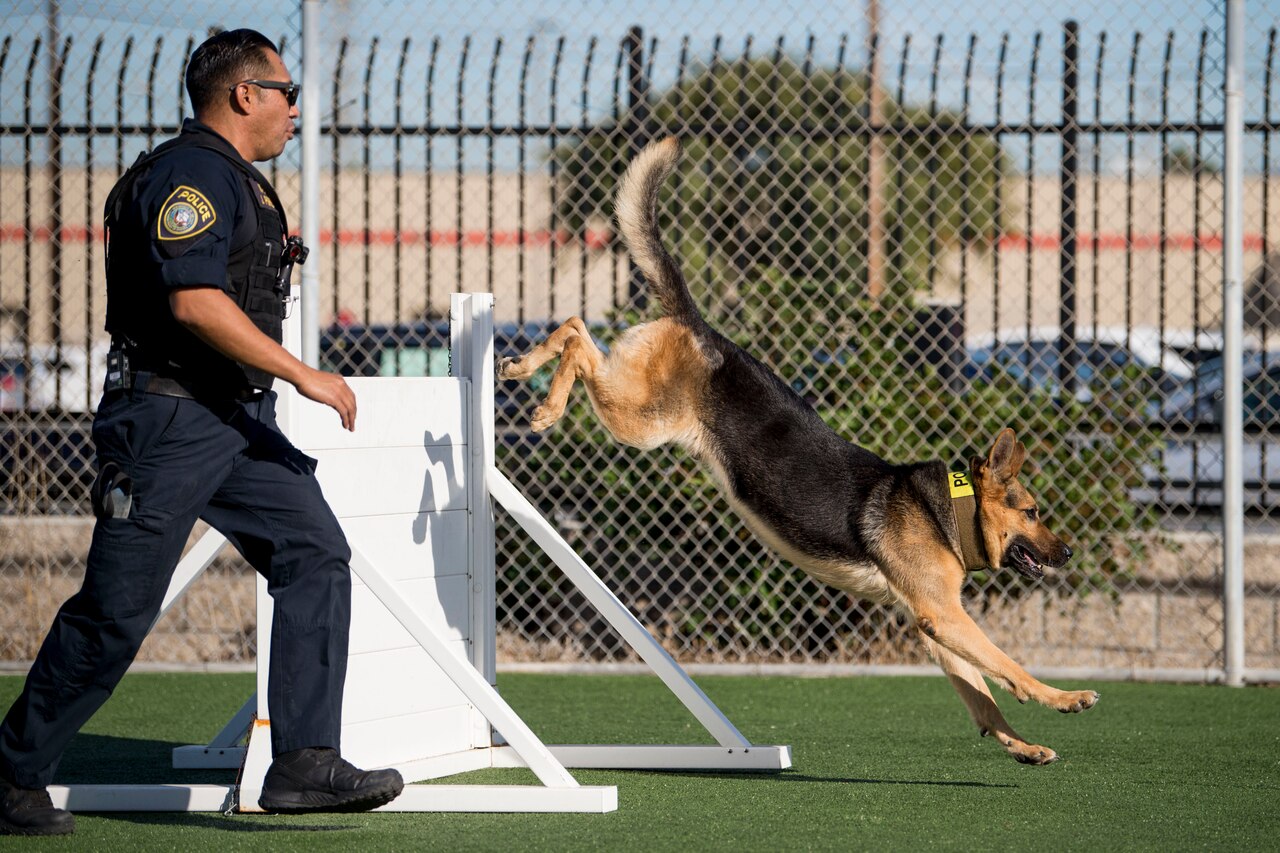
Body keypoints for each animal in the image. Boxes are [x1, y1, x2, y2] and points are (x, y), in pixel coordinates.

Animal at [499, 136, 1100, 758]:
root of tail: (701, 329)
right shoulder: (944, 615)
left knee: (574, 326)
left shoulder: (933, 624)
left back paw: (521, 366)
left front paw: (1022, 747)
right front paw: (1065, 698)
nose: (1069, 553)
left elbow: (983, 694)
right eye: (1033, 512)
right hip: (639, 418)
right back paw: (544, 401)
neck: (947, 511)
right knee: (576, 336)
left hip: (637, 406)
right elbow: (1010, 666)